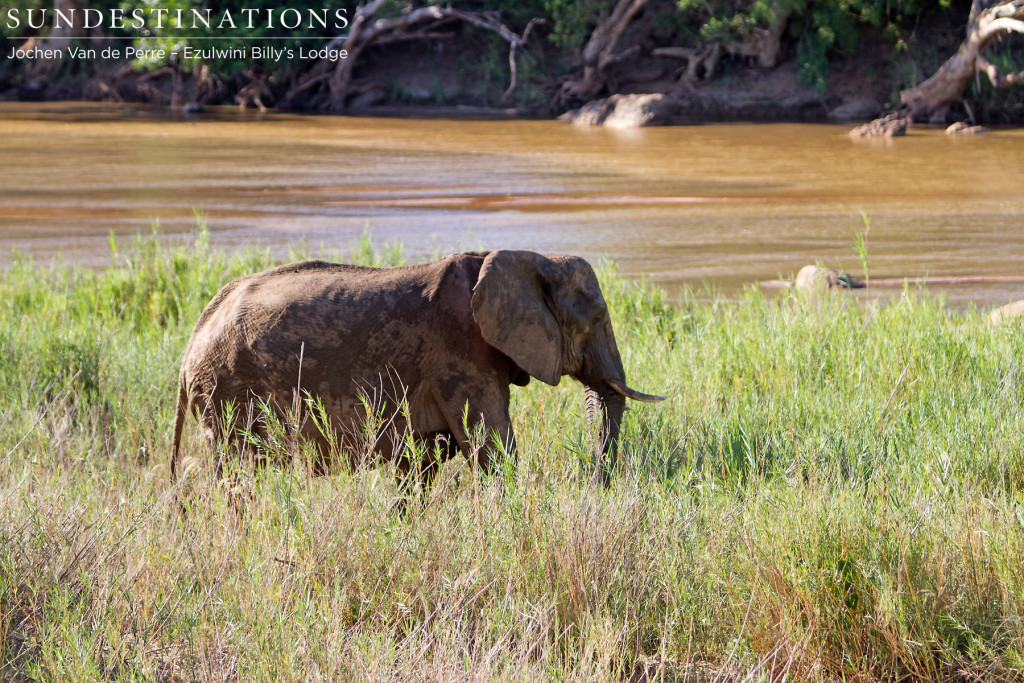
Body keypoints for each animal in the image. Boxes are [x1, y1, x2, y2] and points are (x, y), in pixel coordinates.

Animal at [169, 249, 663, 491]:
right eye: (596, 318)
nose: (595, 485)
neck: (533, 259)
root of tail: (193, 337)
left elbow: (425, 460)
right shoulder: (462, 347)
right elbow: (491, 449)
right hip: (225, 390)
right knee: (237, 472)